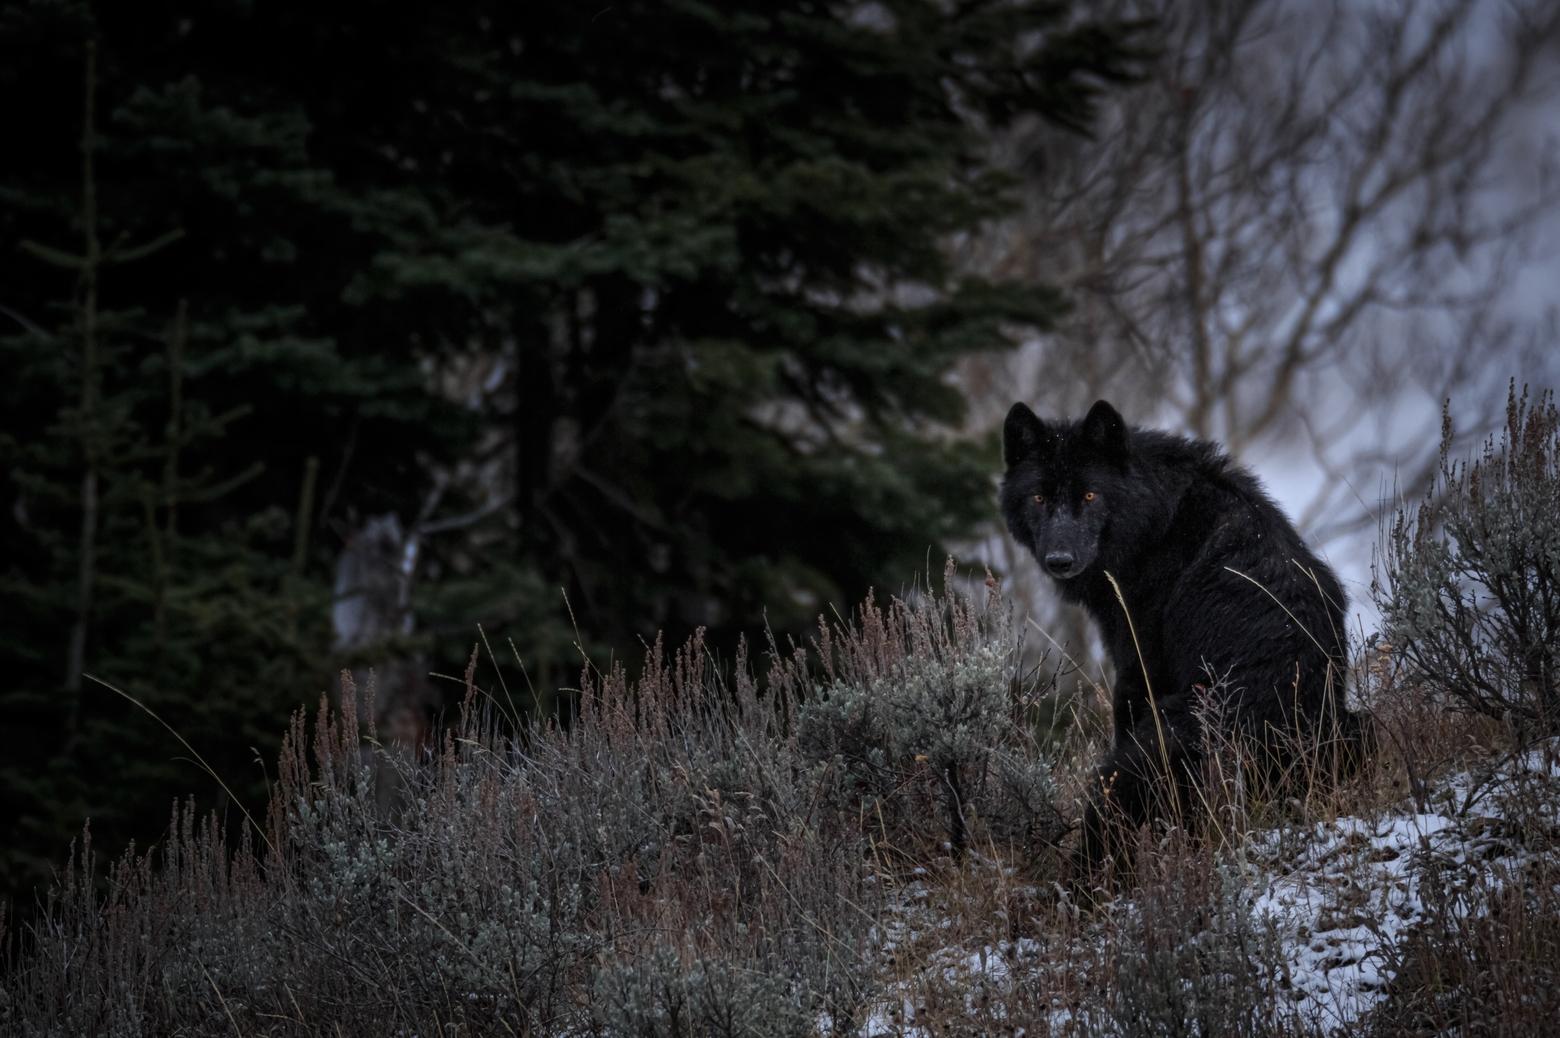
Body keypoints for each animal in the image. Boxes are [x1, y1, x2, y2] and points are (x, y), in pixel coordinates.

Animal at [1004, 398, 1360, 874]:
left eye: (1089, 495)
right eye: (1039, 497)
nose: (1059, 560)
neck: (1157, 522)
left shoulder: (1137, 669)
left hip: (1139, 757)